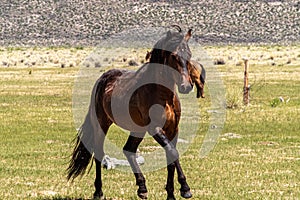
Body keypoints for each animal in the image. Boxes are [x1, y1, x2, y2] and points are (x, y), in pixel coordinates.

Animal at [67, 28, 195, 200]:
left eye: (189, 54)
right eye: (173, 56)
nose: (186, 86)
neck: (162, 94)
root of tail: (103, 78)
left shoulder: (173, 128)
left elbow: (171, 158)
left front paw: (171, 194)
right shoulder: (154, 128)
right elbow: (173, 153)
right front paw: (185, 188)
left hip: (137, 129)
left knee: (129, 150)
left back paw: (142, 188)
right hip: (102, 124)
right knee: (99, 153)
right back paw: (98, 192)